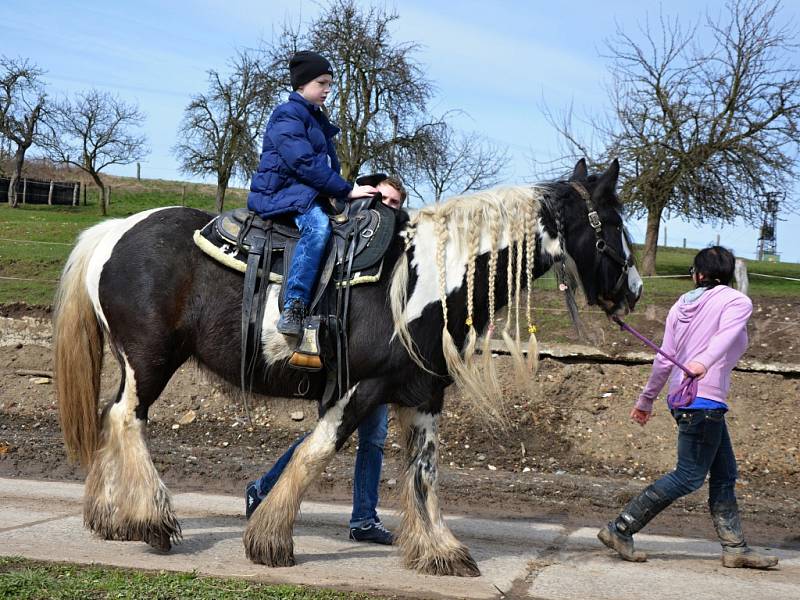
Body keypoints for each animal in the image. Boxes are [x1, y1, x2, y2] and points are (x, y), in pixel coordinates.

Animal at [53, 158, 640, 576]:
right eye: (613, 222)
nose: (632, 289)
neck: (423, 281)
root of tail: (113, 232)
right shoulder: (361, 386)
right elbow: (316, 452)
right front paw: (270, 540)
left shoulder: (423, 395)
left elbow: (424, 472)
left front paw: (441, 551)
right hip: (150, 359)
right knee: (127, 420)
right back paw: (151, 521)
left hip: (134, 362)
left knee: (109, 417)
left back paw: (109, 518)